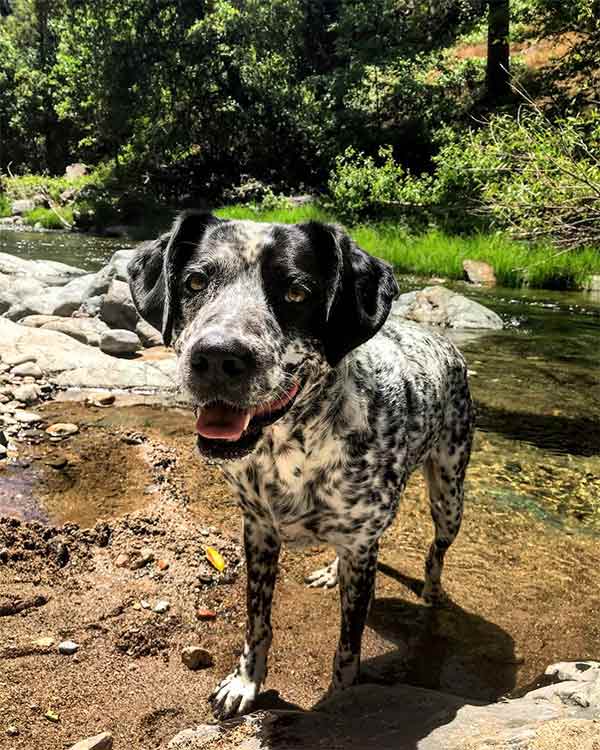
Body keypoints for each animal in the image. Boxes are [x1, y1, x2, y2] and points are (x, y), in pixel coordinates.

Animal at [129, 212, 476, 724]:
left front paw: (341, 703)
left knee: (435, 551)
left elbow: (348, 648)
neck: (293, 449)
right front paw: (245, 683)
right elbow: (257, 623)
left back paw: (430, 592)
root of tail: (439, 339)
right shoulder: (258, 531)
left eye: (296, 292)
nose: (217, 356)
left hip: (449, 492)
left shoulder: (359, 541)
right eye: (194, 281)